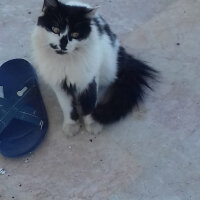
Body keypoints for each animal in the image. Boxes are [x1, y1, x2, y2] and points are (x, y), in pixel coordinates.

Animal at [32, 0, 158, 136]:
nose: (63, 45)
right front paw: (71, 125)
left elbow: (89, 104)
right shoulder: (60, 84)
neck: (65, 62)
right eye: (55, 29)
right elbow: (68, 107)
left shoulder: (89, 79)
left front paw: (93, 124)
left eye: (75, 34)